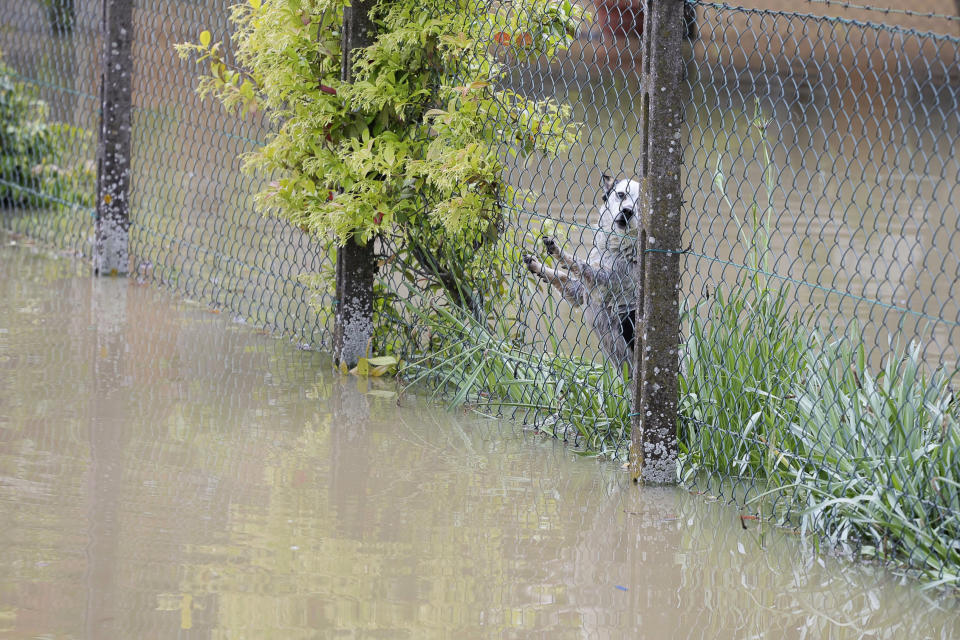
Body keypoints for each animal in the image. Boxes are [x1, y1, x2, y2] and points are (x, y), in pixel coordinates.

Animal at [520, 175, 640, 376]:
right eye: (621, 194)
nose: (627, 211)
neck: (617, 249)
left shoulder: (605, 281)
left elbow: (580, 264)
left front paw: (561, 254)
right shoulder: (581, 292)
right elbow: (562, 276)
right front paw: (540, 267)